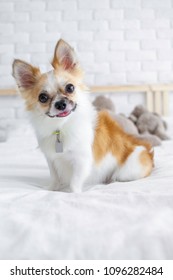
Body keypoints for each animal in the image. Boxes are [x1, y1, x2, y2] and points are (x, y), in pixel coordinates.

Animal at [12, 39, 153, 192]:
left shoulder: (81, 161)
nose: (60, 103)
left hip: (127, 170)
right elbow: (54, 178)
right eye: (42, 98)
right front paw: (51, 189)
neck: (62, 126)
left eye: (70, 87)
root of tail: (148, 152)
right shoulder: (51, 159)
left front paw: (72, 193)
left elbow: (74, 183)